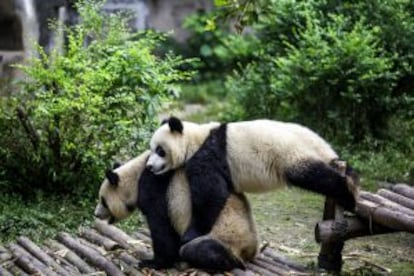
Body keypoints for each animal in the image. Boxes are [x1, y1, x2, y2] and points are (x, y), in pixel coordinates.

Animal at [146, 116, 360, 244]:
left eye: (160, 150)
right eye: (152, 149)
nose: (149, 166)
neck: (195, 138)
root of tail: (325, 148)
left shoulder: (210, 154)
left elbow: (211, 194)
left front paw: (191, 234)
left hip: (293, 155)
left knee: (314, 175)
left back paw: (348, 195)